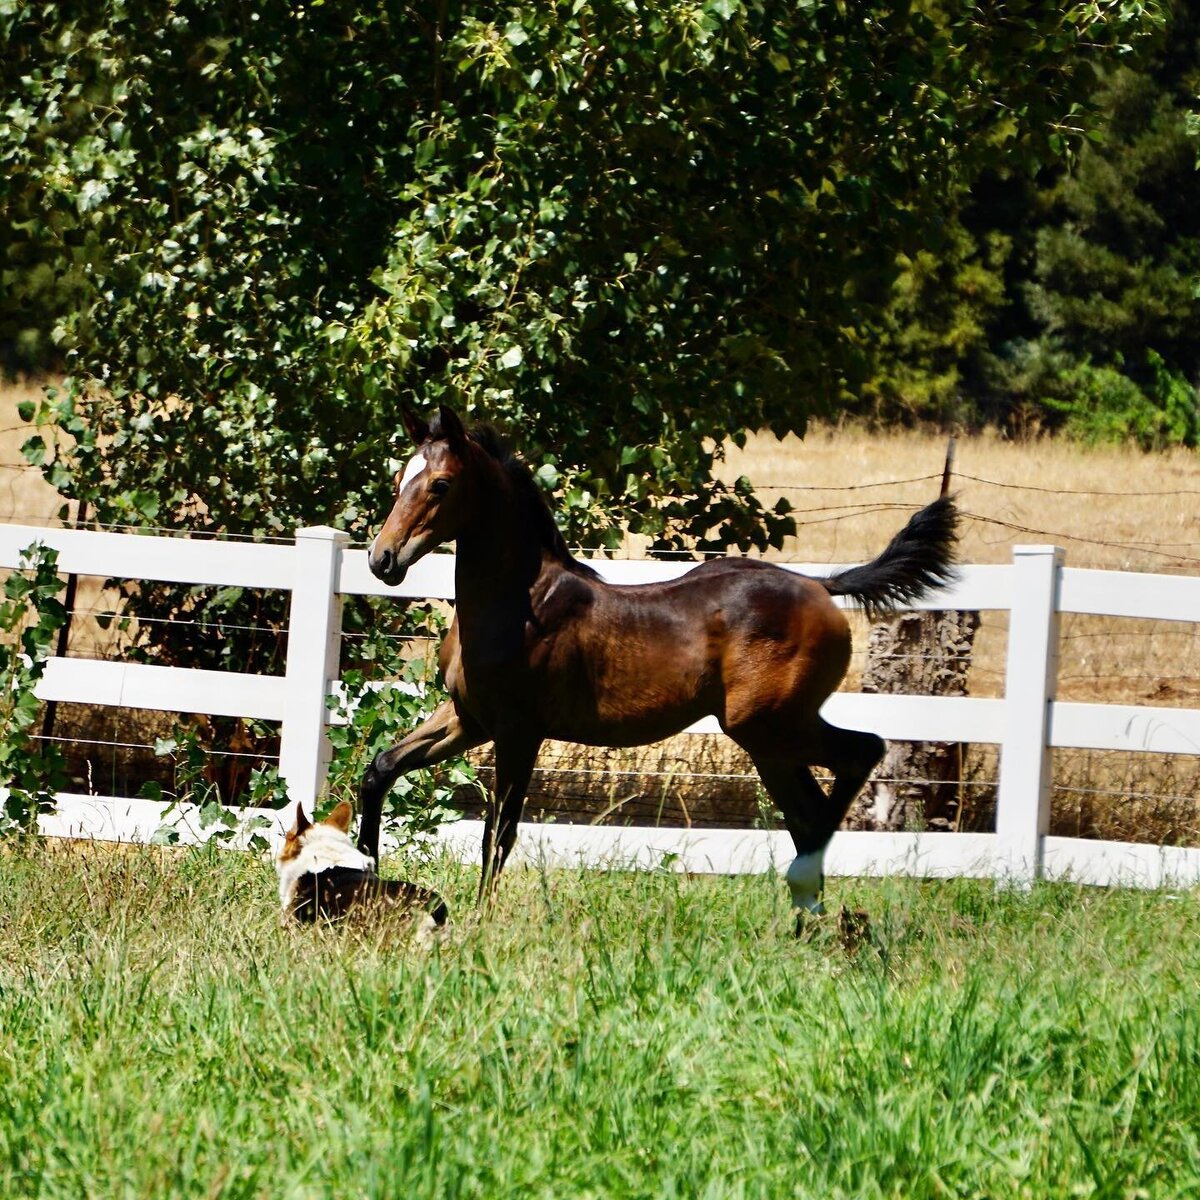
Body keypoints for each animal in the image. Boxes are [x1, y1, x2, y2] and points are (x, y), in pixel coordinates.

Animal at [355, 405, 955, 916]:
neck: (521, 603)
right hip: (770, 739)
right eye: (399, 479)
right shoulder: (468, 718)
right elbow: (380, 769)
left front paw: (479, 922)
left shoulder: (518, 730)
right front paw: (362, 876)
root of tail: (821, 586)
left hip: (767, 725)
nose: (382, 560)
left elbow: (496, 832)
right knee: (807, 811)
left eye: (440, 484)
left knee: (859, 758)